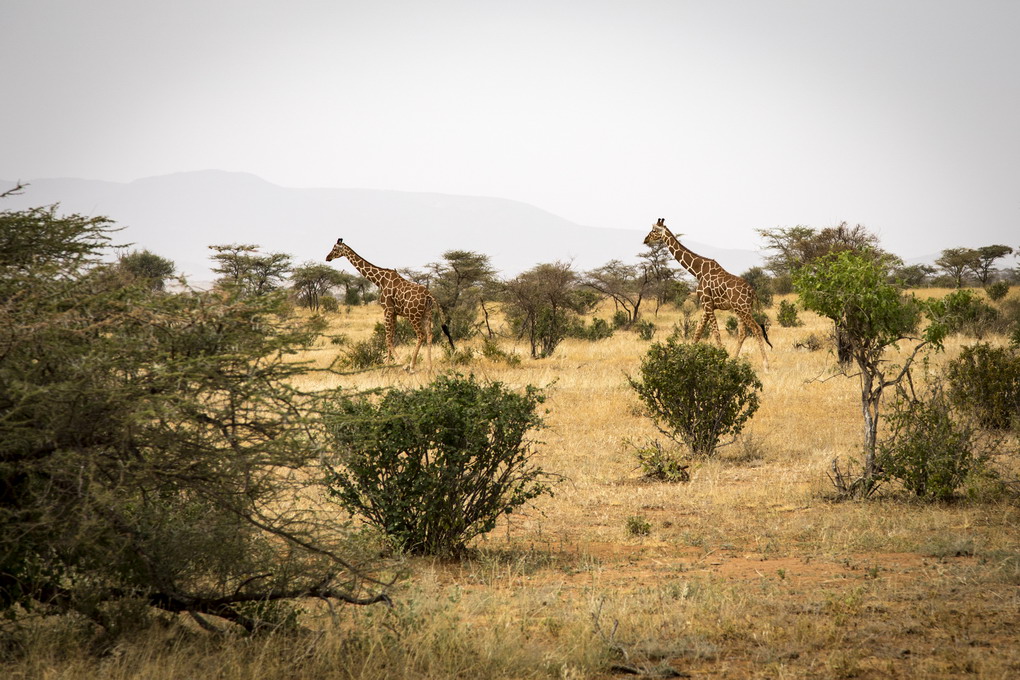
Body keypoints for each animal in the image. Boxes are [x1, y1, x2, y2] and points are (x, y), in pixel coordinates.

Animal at [325, 238, 454, 371]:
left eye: (334, 248)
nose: (327, 257)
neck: (379, 280)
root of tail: (429, 295)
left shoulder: (387, 310)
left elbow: (387, 338)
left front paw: (400, 364)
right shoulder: (395, 312)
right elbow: (392, 337)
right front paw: (387, 367)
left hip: (413, 315)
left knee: (421, 335)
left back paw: (411, 366)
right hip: (427, 314)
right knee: (429, 335)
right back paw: (429, 367)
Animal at [644, 218, 771, 369]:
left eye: (653, 230)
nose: (645, 239)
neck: (697, 271)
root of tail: (752, 292)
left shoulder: (707, 303)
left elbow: (715, 333)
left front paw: (722, 359)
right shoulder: (707, 305)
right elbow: (697, 333)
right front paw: (686, 359)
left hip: (743, 308)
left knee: (756, 329)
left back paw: (766, 365)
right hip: (740, 309)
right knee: (742, 333)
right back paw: (734, 361)